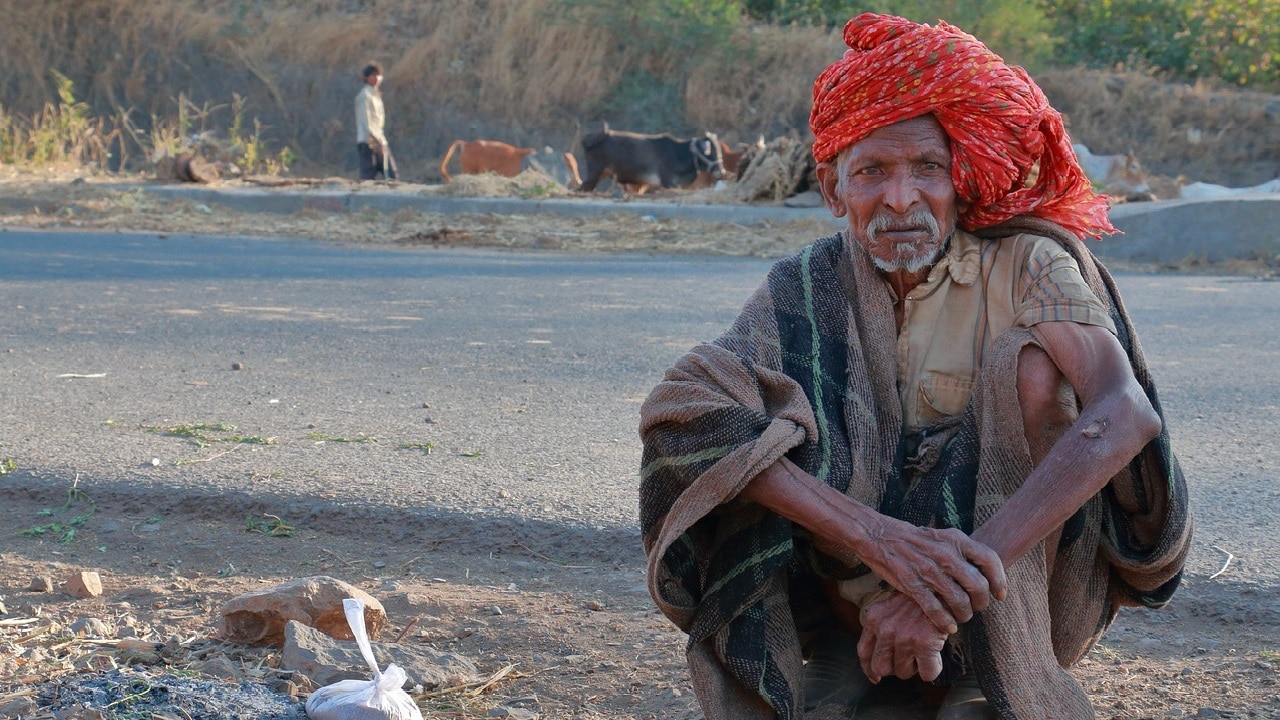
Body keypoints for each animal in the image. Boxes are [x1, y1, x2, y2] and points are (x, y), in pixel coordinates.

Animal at [578, 127, 727, 192]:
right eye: (710, 152)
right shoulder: (667, 184)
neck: (679, 153)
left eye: (719, 150)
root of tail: (588, 139)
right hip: (594, 173)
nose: (721, 171)